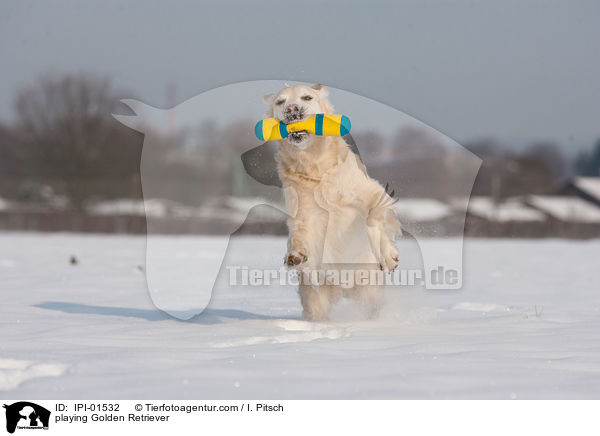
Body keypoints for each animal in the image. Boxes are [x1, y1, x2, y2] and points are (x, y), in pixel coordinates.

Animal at [264, 83, 400, 320]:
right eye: (280, 102)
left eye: (306, 97)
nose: (291, 109)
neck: (313, 164)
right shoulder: (303, 215)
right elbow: (298, 235)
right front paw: (295, 255)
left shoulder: (372, 193)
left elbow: (373, 218)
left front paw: (388, 257)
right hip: (314, 298)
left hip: (369, 286)